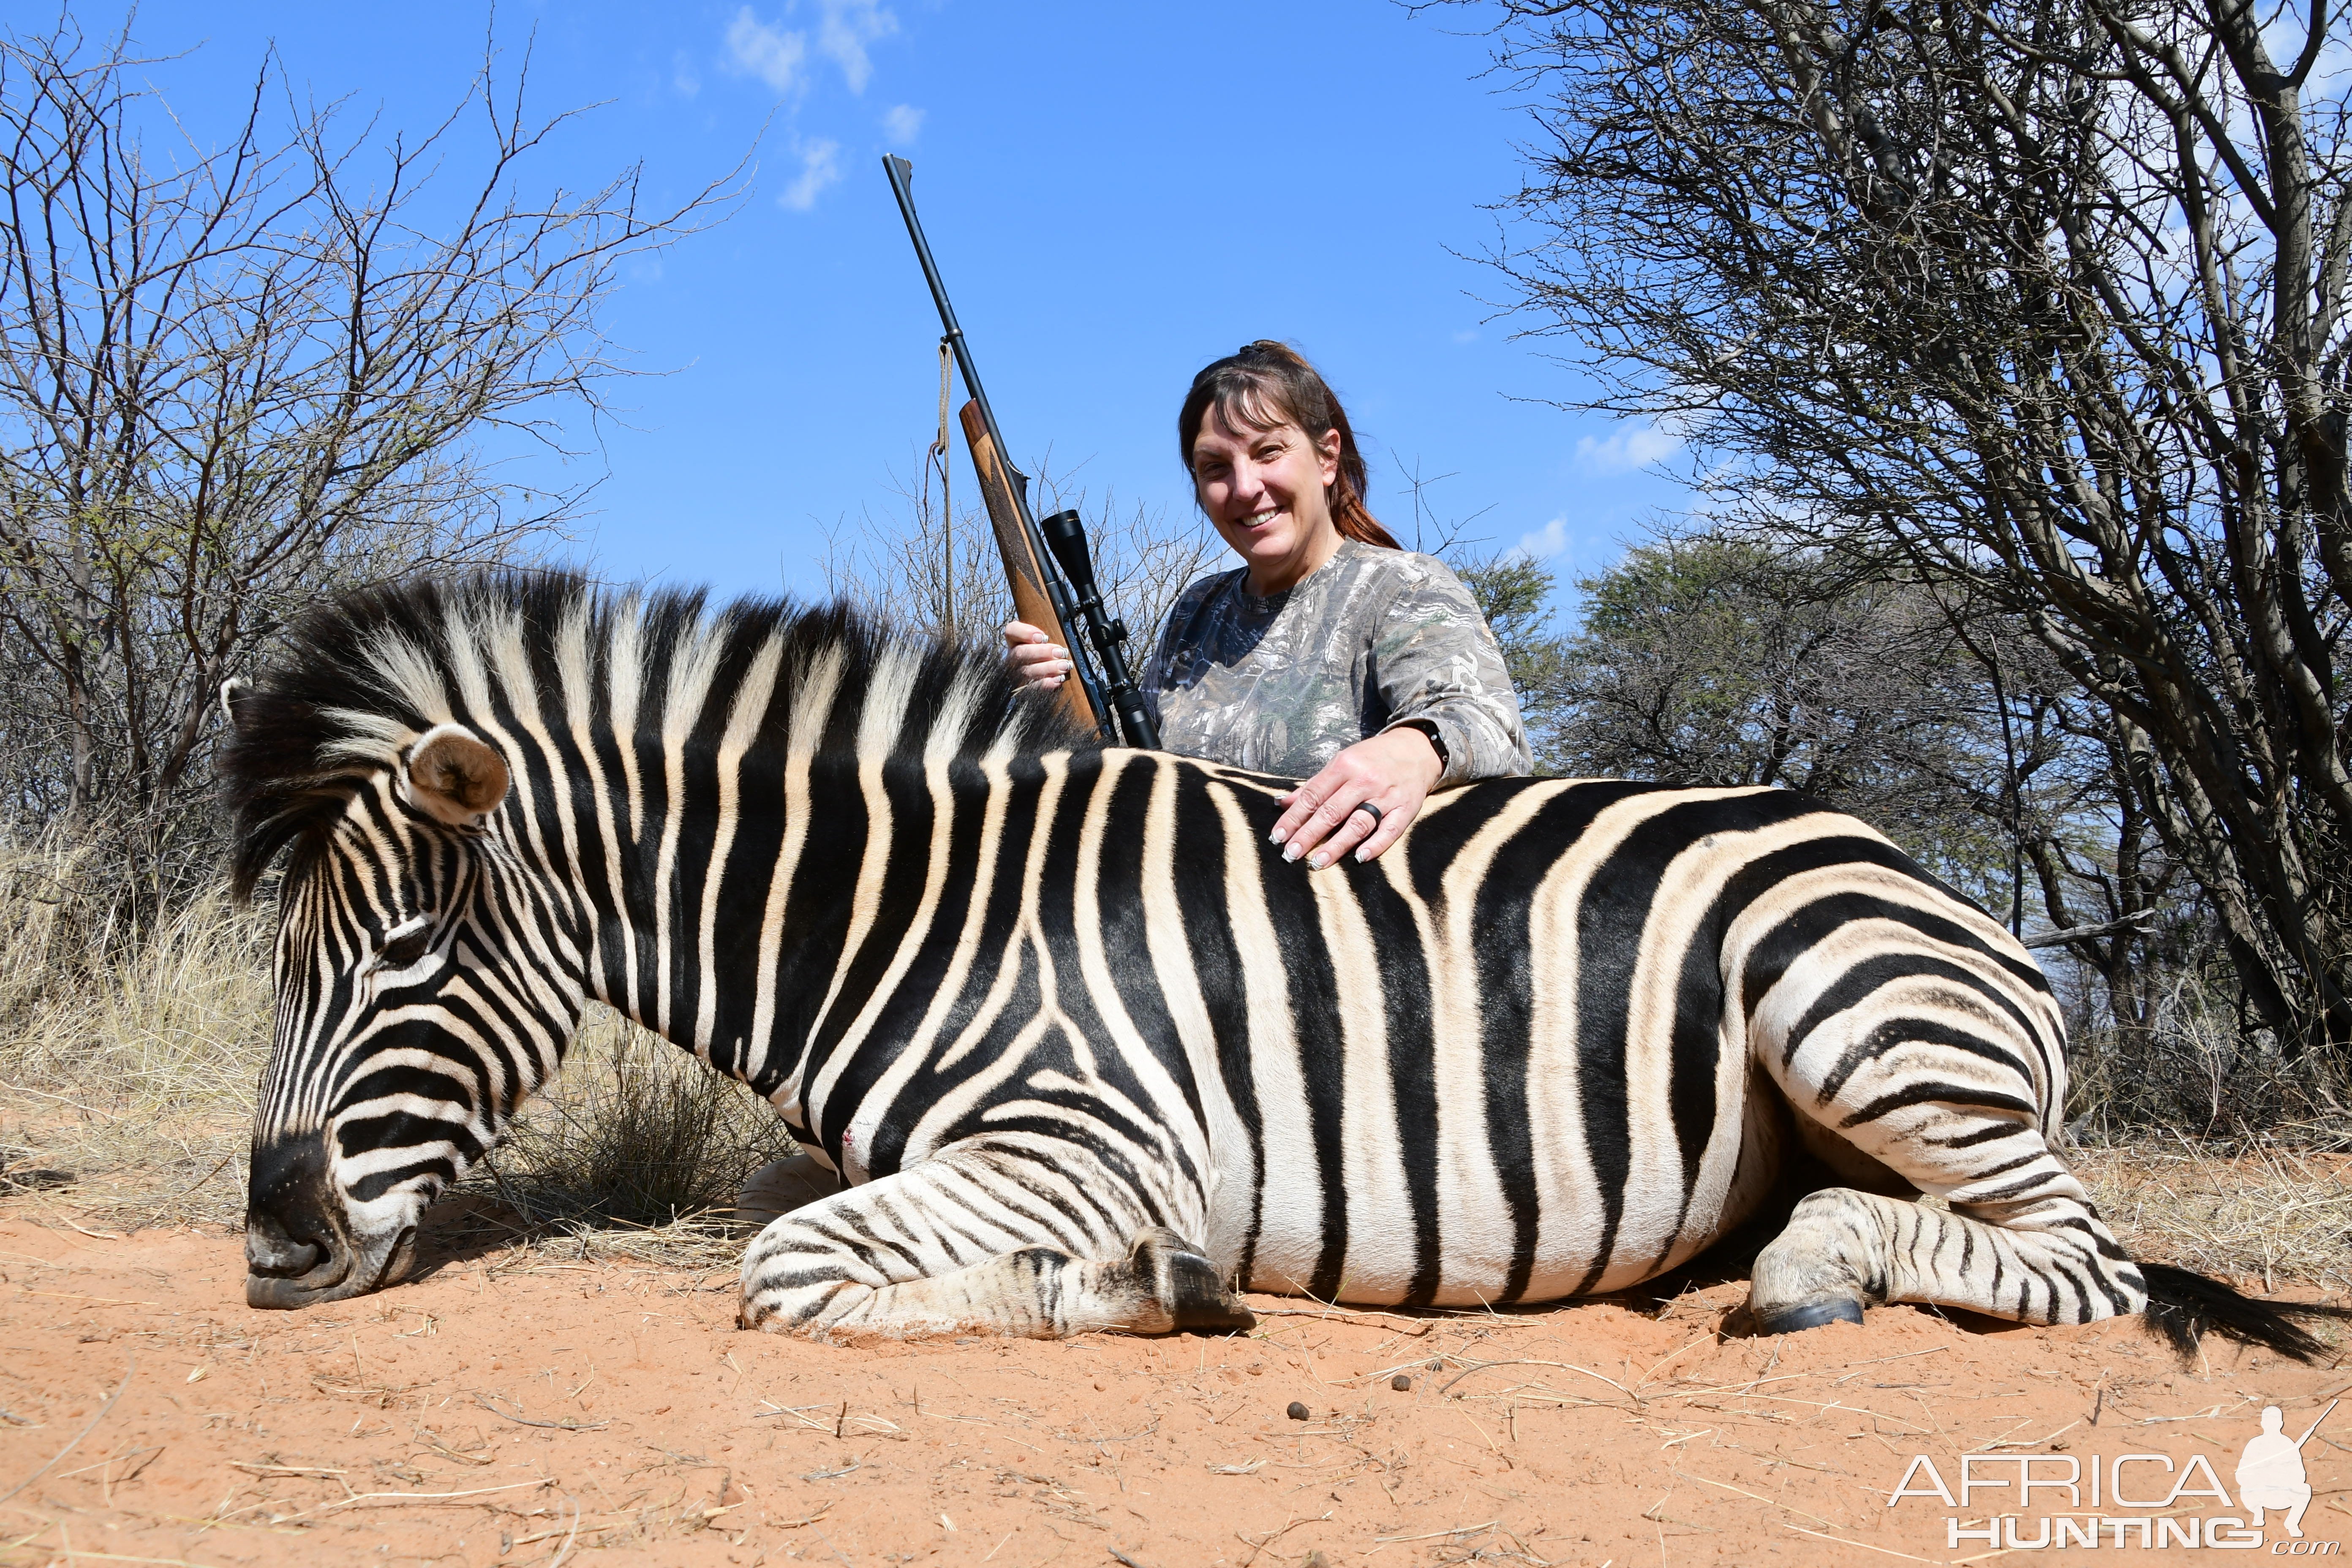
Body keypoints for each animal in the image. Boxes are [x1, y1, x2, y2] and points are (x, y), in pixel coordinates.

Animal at [221, 576, 2333, 1363]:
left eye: (399, 947)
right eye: (283, 957)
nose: (267, 1243)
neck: (918, 914)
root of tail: (1934, 881)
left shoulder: (1086, 1138)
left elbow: (790, 1267)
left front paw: (1148, 1286)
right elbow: (785, 1216)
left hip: (1846, 1011)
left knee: (2089, 1257)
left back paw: (1814, 1268)